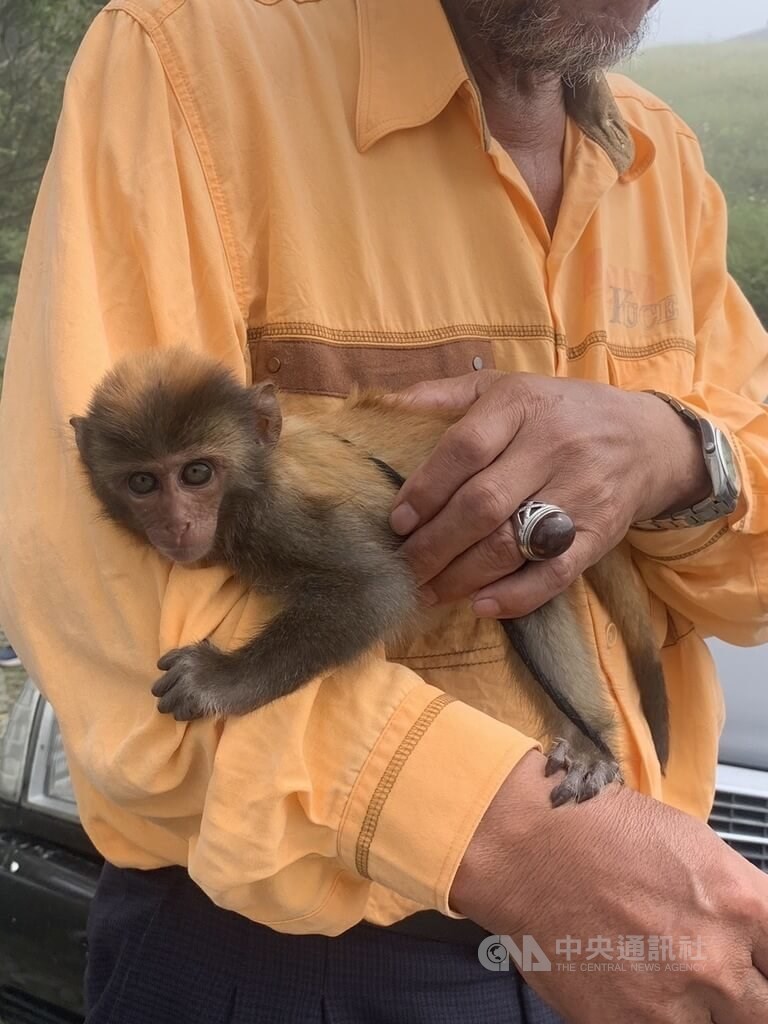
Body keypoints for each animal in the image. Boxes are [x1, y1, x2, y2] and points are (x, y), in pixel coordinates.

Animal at [73, 350, 671, 806]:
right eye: (144, 483)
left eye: (196, 473)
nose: (175, 523)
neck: (250, 485)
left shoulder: (282, 516)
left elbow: (375, 591)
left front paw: (218, 680)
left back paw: (589, 746)